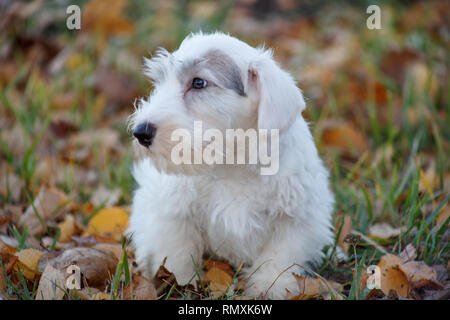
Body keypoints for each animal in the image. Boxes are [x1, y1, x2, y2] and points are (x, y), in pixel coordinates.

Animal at [126, 31, 334, 298]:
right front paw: (179, 282)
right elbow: (176, 253)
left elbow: (280, 256)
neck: (230, 162)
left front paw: (269, 287)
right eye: (160, 82)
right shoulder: (174, 213)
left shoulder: (296, 218)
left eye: (198, 83)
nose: (140, 132)